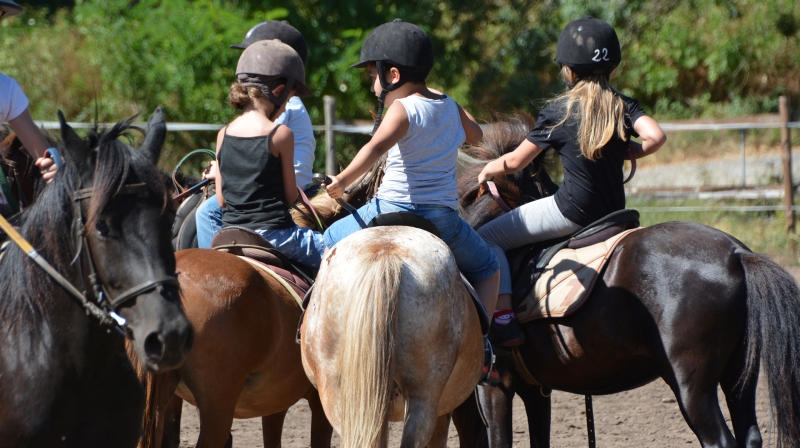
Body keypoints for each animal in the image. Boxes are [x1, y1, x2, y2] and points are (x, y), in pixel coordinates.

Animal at [450, 114, 800, 448]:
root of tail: (737, 254)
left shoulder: (494, 387)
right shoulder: (536, 388)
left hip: (691, 383)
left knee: (719, 440)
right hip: (740, 373)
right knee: (750, 435)